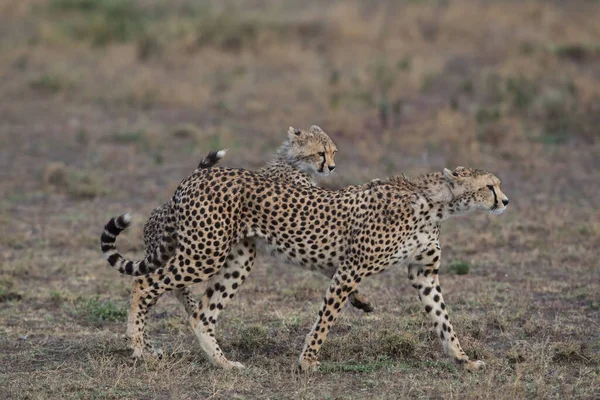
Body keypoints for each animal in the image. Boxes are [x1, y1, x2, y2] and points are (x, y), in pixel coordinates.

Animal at [118, 163, 510, 372]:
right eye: (489, 186)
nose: (505, 201)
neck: (433, 204)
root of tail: (194, 177)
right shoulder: (350, 269)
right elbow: (325, 320)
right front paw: (307, 362)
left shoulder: (423, 273)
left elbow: (444, 320)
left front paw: (463, 359)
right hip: (205, 252)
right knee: (145, 284)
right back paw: (139, 349)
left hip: (238, 259)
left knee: (201, 313)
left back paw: (224, 364)